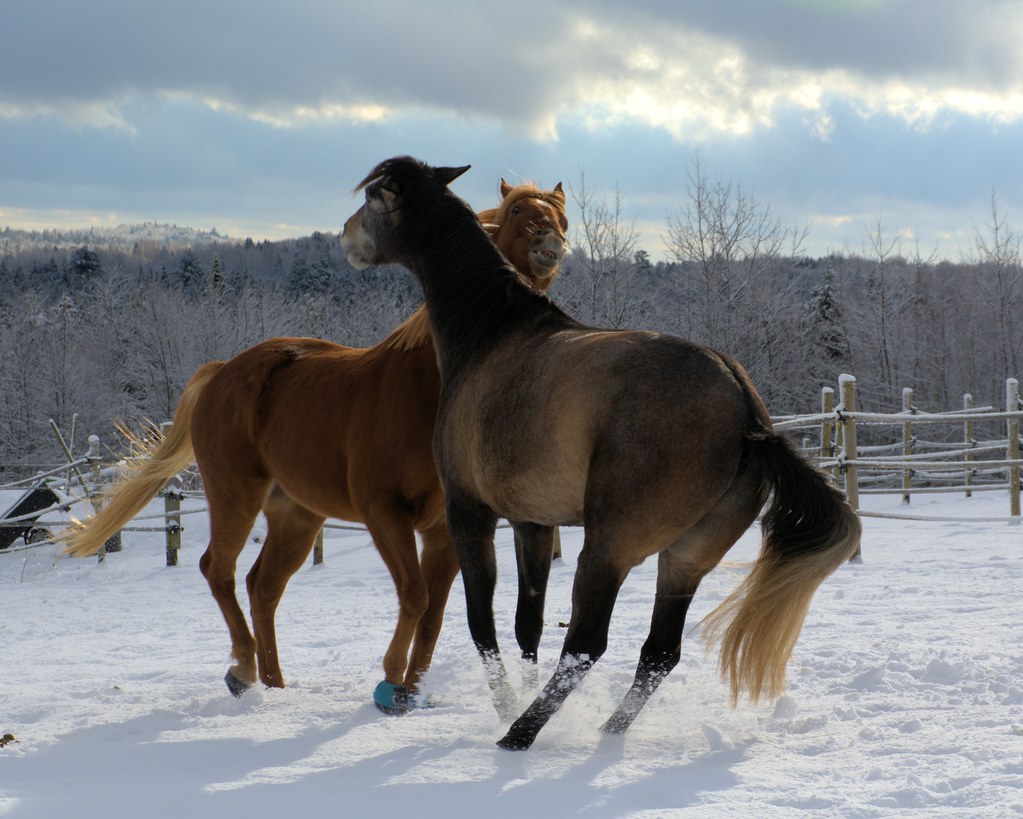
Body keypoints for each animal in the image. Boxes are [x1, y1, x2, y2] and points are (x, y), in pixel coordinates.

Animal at [63, 177, 569, 714]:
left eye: (562, 216)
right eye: (517, 212)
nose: (551, 246)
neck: (427, 383)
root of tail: (222, 372)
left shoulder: (445, 529)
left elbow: (433, 612)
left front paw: (410, 690)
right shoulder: (383, 511)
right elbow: (414, 595)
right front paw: (390, 682)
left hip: (296, 516)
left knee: (262, 587)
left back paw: (274, 683)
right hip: (235, 496)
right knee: (218, 570)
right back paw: (243, 670)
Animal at [340, 156, 861, 750]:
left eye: (374, 197)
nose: (345, 236)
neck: (491, 335)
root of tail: (747, 411)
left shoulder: (468, 513)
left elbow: (481, 625)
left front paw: (505, 705)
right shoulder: (532, 522)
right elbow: (527, 625)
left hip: (607, 549)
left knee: (587, 644)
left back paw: (518, 736)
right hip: (685, 557)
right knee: (658, 653)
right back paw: (606, 734)